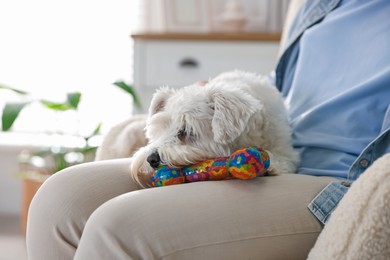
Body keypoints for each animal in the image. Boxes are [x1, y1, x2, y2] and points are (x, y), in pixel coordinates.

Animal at [131, 71, 298, 187]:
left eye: (186, 131)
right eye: (159, 131)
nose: (151, 159)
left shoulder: (287, 150)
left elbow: (284, 158)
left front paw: (272, 165)